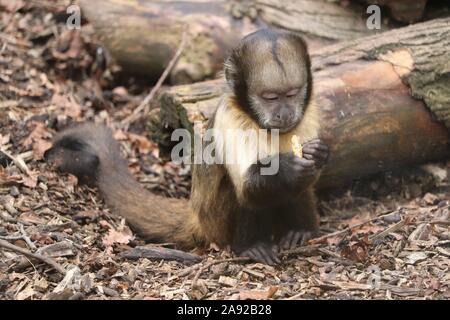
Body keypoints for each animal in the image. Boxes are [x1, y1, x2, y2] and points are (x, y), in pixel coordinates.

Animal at [44, 29, 326, 264]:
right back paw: (251, 247)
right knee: (242, 192)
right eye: (270, 98)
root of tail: (196, 215)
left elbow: (311, 172)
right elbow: (247, 187)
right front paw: (286, 167)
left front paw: (318, 154)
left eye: (292, 94)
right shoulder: (230, 117)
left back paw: (299, 231)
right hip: (216, 225)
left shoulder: (309, 109)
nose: (284, 113)